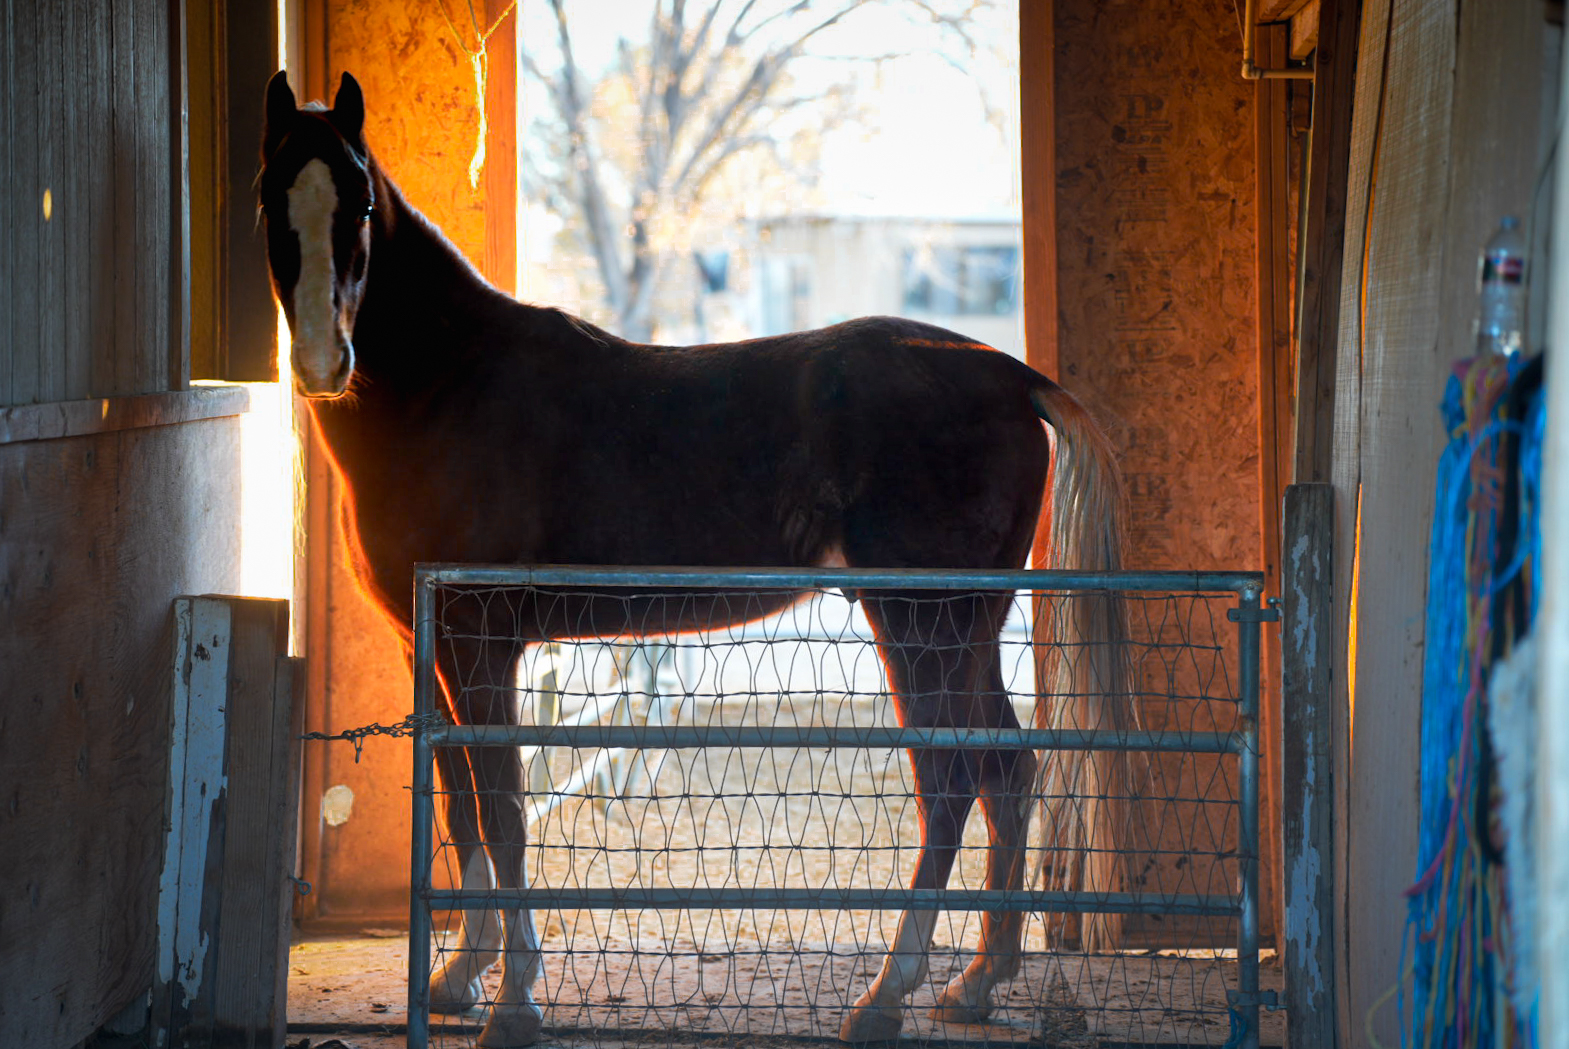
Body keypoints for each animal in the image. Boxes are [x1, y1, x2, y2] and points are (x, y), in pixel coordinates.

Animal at [259, 70, 1130, 1048]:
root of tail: (1006, 374)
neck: (453, 387)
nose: (324, 361)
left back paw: (885, 995)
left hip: (919, 622)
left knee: (947, 782)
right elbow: (460, 802)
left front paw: (514, 998)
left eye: (362, 203)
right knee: (1004, 772)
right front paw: (459, 978)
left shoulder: (483, 642)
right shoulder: (436, 645)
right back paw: (977, 980)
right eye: (269, 197)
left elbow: (505, 807)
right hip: (965, 628)